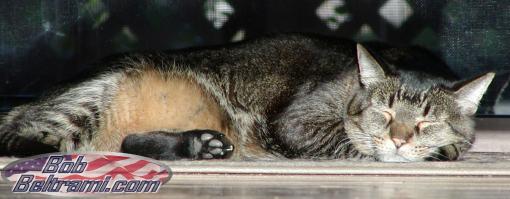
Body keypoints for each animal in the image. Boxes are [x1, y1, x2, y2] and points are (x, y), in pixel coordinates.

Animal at [0, 34, 494, 162]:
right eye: (384, 112)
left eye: (427, 120)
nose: (401, 138)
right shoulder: (297, 123)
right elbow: (351, 142)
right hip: (91, 101)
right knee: (21, 138)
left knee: (124, 143)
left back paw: (200, 144)